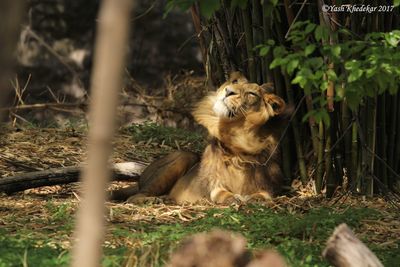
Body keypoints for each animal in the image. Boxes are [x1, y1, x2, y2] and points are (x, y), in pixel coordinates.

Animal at [111, 73, 292, 205]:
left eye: (251, 93)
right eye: (234, 83)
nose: (228, 91)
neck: (240, 137)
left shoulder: (270, 185)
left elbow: (263, 196)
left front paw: (252, 199)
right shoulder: (214, 185)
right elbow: (222, 193)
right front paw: (233, 198)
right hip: (183, 157)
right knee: (135, 196)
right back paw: (157, 200)